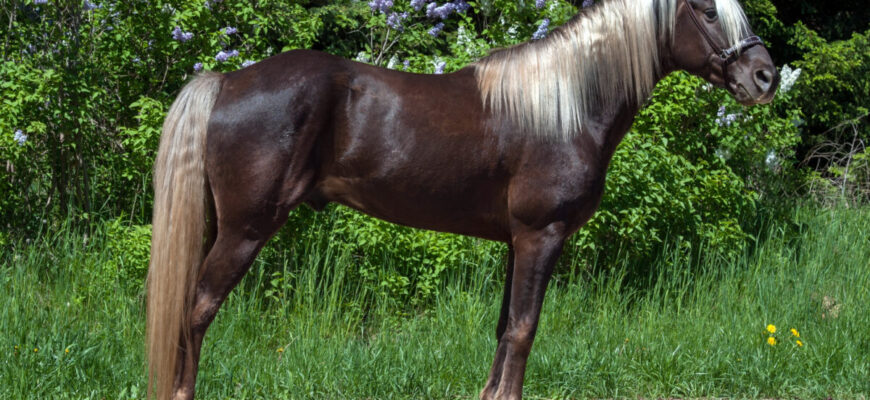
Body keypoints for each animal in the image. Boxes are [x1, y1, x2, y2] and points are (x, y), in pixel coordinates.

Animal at [146, 0, 780, 396]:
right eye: (705, 9)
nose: (765, 76)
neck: (566, 105)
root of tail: (227, 81)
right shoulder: (541, 236)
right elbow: (524, 330)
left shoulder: (515, 244)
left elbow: (504, 329)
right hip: (246, 230)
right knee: (197, 310)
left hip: (220, 225)